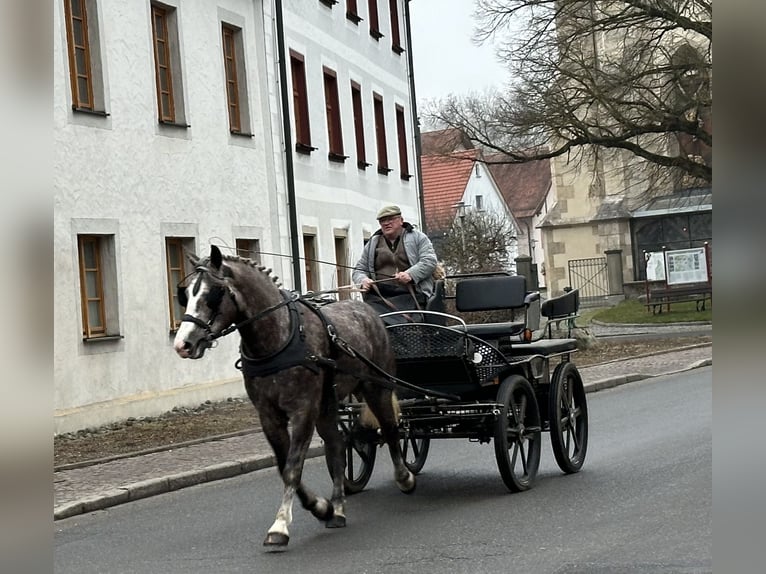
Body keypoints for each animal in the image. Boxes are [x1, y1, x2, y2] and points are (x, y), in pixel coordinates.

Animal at [173, 245, 414, 552]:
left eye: (213, 293)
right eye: (186, 294)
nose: (183, 344)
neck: (279, 338)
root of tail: (368, 310)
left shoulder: (303, 410)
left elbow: (292, 467)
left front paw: (280, 526)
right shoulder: (269, 415)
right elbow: (284, 464)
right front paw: (321, 507)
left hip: (375, 387)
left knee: (391, 429)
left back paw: (405, 478)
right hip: (329, 403)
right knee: (338, 445)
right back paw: (337, 509)